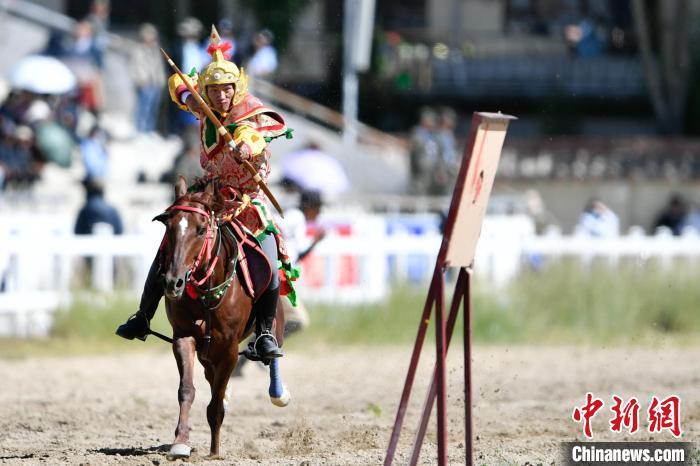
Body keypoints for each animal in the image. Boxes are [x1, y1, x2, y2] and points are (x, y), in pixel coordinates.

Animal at [156, 177, 290, 458]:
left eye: (200, 229)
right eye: (169, 227)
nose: (173, 282)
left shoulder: (229, 348)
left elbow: (215, 404)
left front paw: (215, 451)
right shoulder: (184, 337)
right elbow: (187, 390)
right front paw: (180, 442)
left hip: (274, 326)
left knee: (272, 352)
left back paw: (278, 393)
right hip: (207, 349)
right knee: (209, 374)